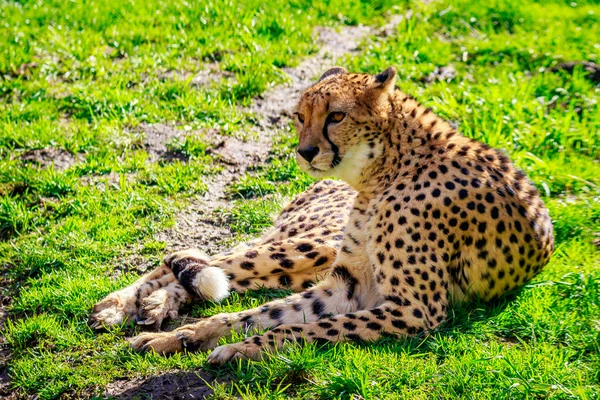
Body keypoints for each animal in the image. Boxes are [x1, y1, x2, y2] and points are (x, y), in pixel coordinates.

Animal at [89, 66, 552, 366]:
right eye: (299, 116)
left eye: (337, 116)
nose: (306, 151)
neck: (381, 173)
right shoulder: (349, 285)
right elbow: (254, 315)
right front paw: (188, 336)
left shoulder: (409, 308)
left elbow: (293, 326)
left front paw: (236, 348)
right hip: (303, 246)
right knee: (196, 261)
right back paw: (120, 306)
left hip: (305, 252)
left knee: (206, 266)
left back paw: (147, 306)